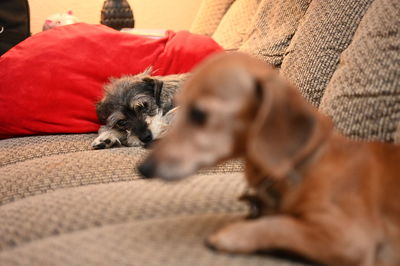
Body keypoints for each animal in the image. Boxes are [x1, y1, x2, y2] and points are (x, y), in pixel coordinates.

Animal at [139, 52, 400, 266]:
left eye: (199, 113)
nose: (143, 168)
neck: (307, 163)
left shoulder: (348, 238)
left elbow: (281, 225)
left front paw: (233, 234)